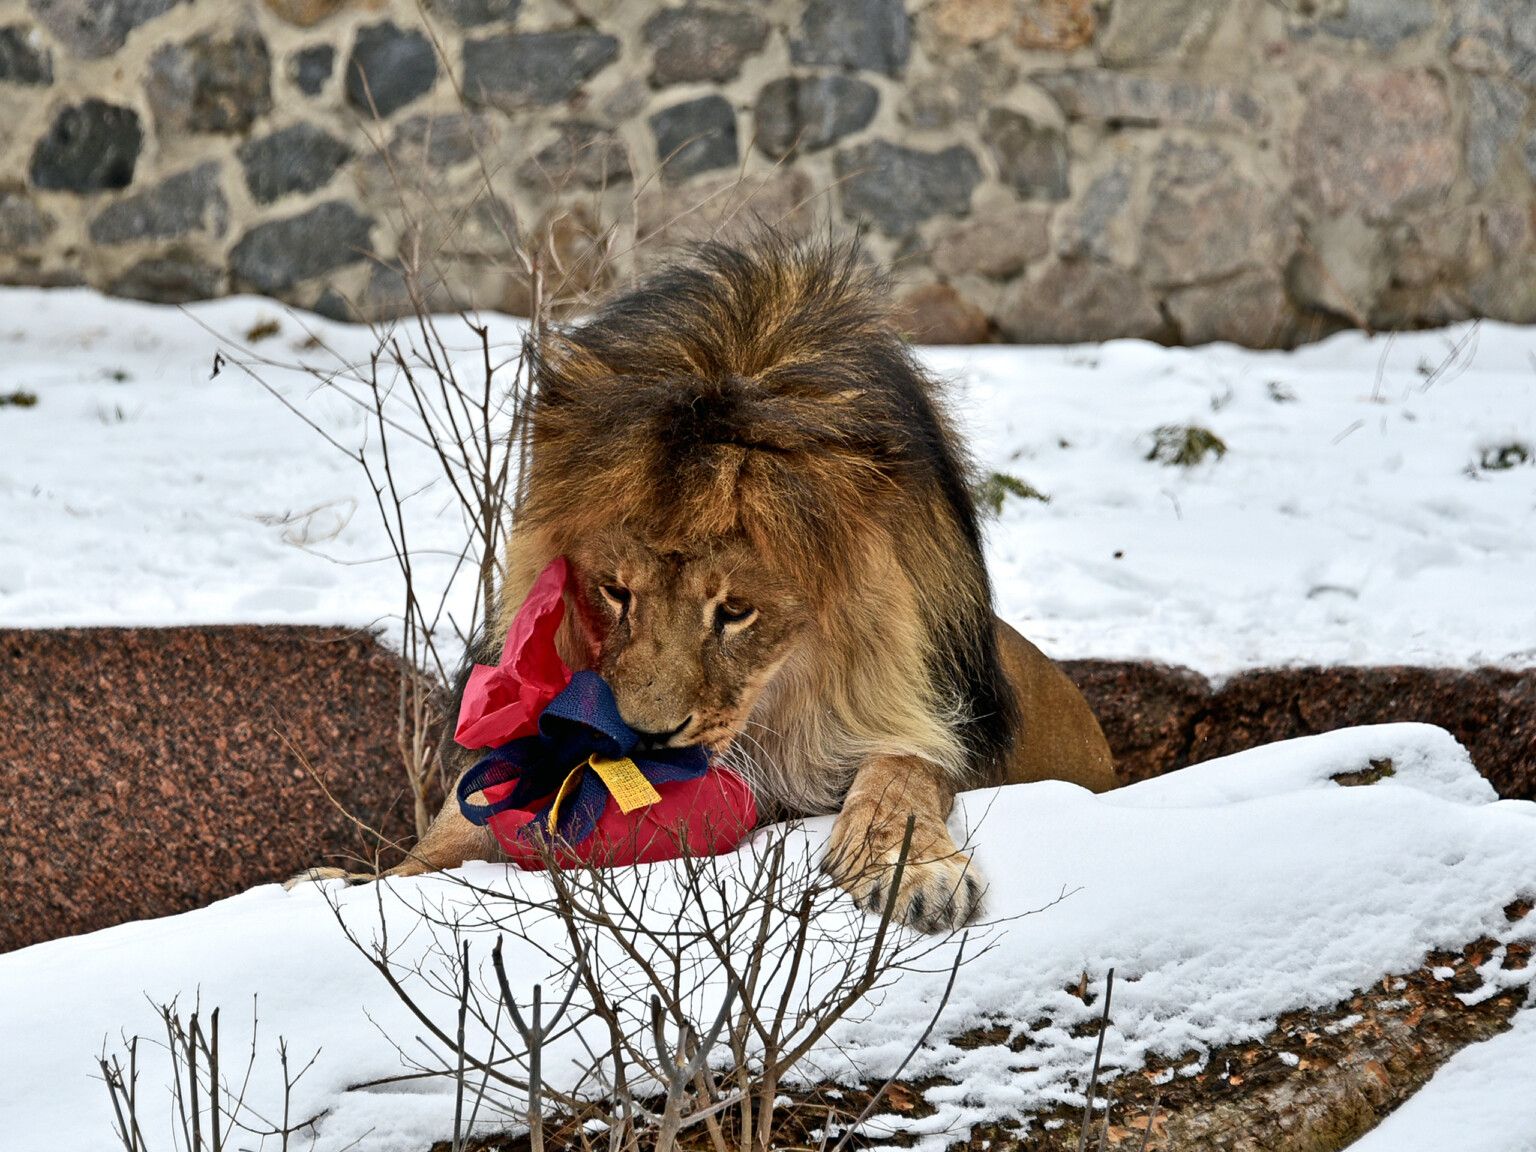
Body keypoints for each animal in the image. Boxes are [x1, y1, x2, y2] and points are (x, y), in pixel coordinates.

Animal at [299, 238, 1115, 931]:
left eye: (736, 611)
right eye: (616, 593)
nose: (648, 736)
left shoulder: (919, 722)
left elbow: (900, 773)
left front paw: (914, 871)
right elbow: (431, 854)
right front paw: (338, 888)